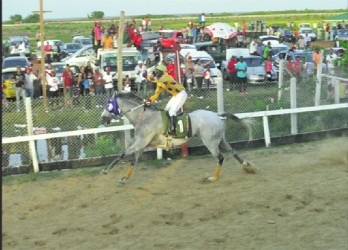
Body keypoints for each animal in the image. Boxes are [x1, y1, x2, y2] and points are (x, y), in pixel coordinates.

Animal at [100, 93, 256, 185]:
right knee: (233, 151)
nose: (102, 118)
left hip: (210, 143)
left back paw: (213, 178)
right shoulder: (141, 145)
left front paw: (106, 171)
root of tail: (216, 115)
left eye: (108, 104)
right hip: (220, 139)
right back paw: (247, 166)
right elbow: (133, 162)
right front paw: (124, 178)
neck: (144, 117)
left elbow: (122, 154)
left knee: (220, 157)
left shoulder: (139, 143)